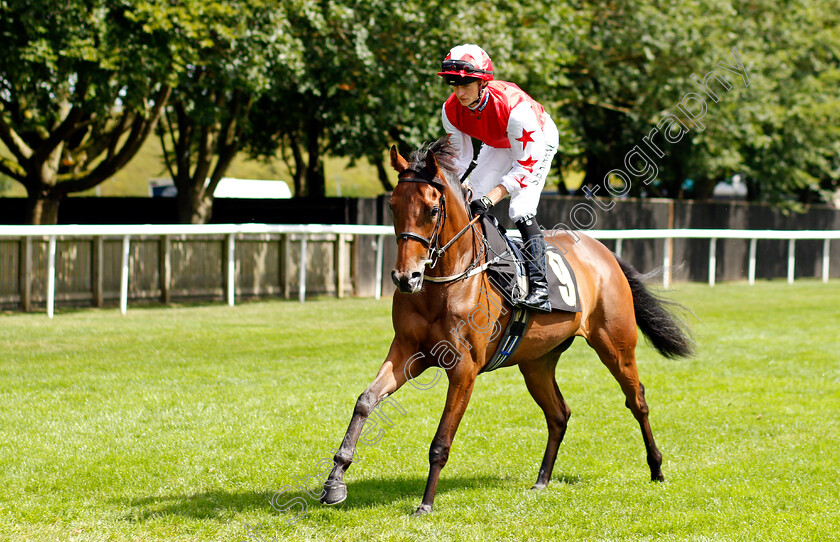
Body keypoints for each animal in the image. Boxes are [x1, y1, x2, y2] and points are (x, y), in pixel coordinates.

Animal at [318, 138, 692, 516]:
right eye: (393, 206)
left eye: (433, 210)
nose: (405, 277)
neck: (446, 283)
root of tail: (603, 252)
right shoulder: (408, 351)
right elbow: (365, 400)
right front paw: (335, 480)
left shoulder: (464, 369)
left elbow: (441, 440)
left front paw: (425, 503)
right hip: (537, 362)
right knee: (559, 414)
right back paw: (542, 480)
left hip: (616, 346)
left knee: (637, 401)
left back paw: (657, 468)